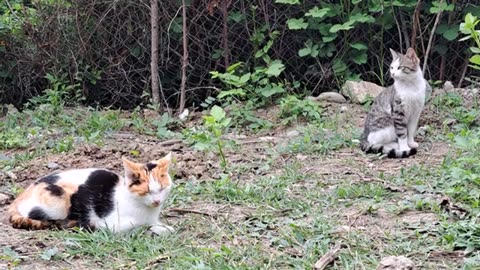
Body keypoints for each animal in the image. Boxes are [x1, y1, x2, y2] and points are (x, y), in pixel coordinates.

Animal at [7, 153, 175, 235]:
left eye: (162, 189)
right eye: (146, 191)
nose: (156, 201)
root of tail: (19, 197)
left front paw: (164, 227)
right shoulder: (113, 225)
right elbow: (139, 226)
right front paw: (159, 229)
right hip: (59, 199)